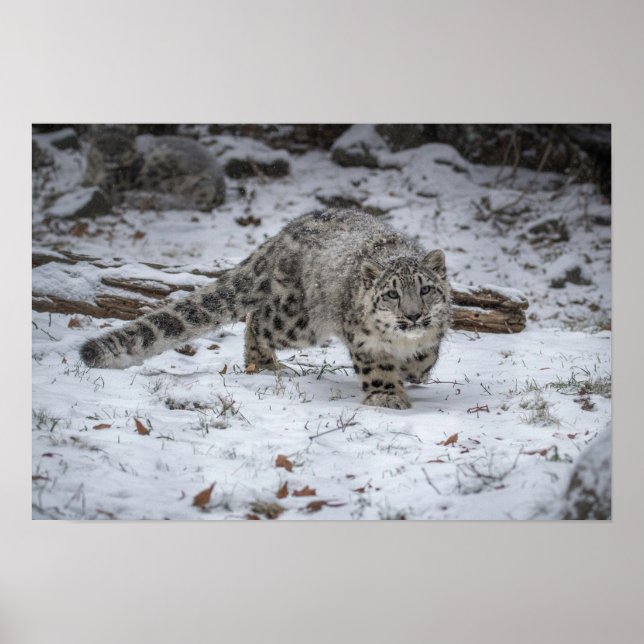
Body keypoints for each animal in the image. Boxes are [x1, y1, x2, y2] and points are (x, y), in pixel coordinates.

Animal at [80, 209, 451, 409]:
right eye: (391, 294)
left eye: (425, 289)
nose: (414, 315)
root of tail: (283, 234)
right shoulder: (365, 341)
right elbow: (377, 368)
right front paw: (387, 397)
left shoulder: (433, 333)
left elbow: (426, 356)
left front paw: (414, 370)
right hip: (299, 321)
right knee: (257, 320)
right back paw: (267, 365)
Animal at [84, 125, 226, 211]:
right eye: (101, 142)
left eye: (121, 142)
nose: (111, 154)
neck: (98, 171)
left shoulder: (117, 179)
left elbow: (103, 184)